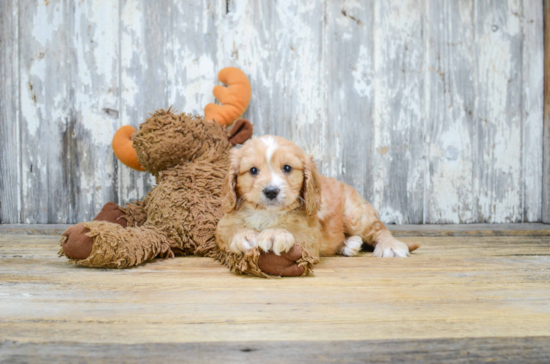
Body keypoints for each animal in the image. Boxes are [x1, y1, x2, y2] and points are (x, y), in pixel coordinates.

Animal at [218, 135, 420, 266]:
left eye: (287, 168)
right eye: (253, 170)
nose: (271, 191)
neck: (268, 214)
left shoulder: (310, 234)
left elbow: (294, 230)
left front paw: (275, 233)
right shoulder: (224, 224)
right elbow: (229, 231)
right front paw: (245, 235)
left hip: (355, 215)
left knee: (378, 229)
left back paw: (390, 245)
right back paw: (349, 244)